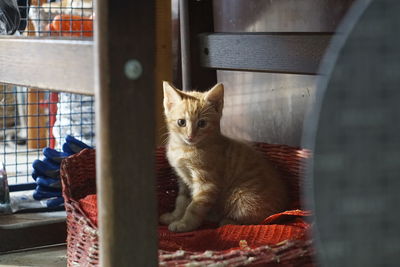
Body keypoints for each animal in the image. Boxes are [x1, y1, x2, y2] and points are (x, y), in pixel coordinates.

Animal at [159, 81, 288, 232]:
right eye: (181, 122)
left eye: (202, 123)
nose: (191, 136)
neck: (184, 148)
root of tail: (284, 206)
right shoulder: (182, 180)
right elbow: (181, 200)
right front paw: (174, 217)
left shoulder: (207, 184)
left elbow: (194, 207)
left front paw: (185, 224)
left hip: (242, 196)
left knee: (260, 220)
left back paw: (226, 221)